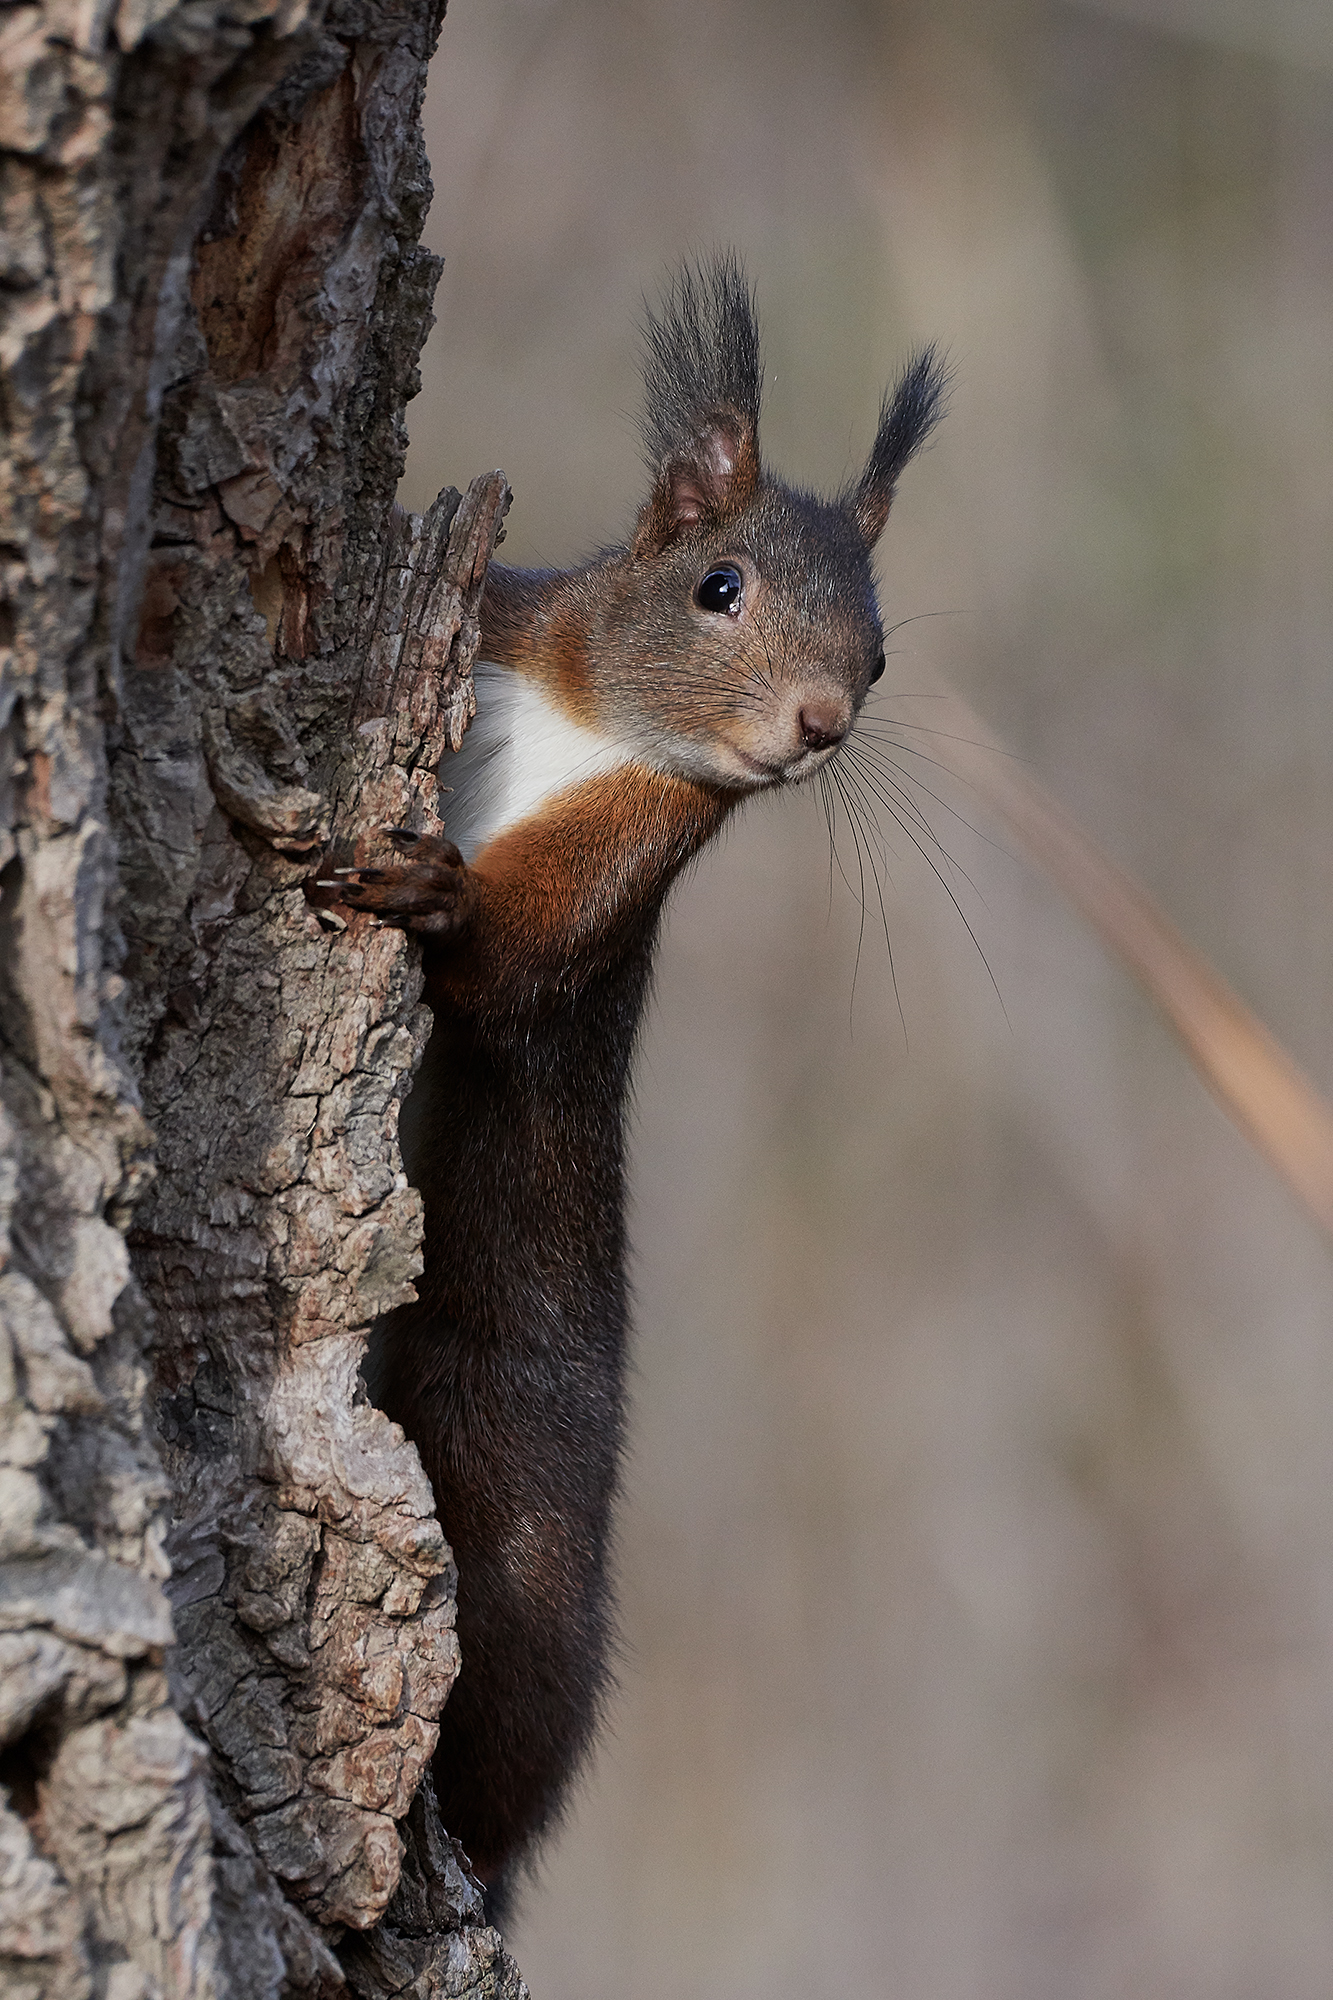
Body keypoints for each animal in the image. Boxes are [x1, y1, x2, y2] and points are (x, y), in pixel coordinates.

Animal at [323, 254, 946, 1910]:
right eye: (718, 585)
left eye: (880, 657)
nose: (818, 724)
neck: (586, 721)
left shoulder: (629, 866)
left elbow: (510, 977)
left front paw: (431, 892)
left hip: (503, 1472)